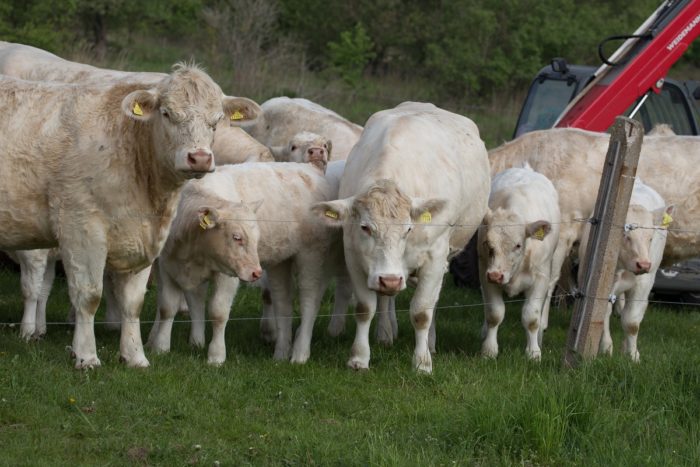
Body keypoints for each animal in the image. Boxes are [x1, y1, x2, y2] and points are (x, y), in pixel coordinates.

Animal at [0, 66, 261, 368]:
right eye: (167, 113)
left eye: (216, 120)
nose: (199, 158)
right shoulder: (80, 228)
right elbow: (89, 296)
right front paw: (86, 356)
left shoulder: (143, 238)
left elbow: (133, 303)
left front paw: (135, 356)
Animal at [313, 102, 490, 373]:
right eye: (365, 228)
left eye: (408, 229)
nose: (389, 280)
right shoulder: (354, 256)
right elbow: (365, 308)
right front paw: (359, 358)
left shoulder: (435, 257)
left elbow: (422, 312)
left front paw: (422, 362)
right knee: (386, 300)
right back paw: (386, 333)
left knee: (432, 301)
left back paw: (430, 343)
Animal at [478, 165, 561, 361]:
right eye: (487, 243)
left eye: (518, 245)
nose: (496, 275)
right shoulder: (485, 272)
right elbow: (494, 313)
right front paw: (489, 350)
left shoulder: (540, 278)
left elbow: (531, 317)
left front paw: (533, 352)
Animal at [578, 179, 674, 362]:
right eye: (626, 236)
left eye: (650, 238)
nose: (643, 264)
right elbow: (602, 313)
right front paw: (606, 348)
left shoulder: (644, 284)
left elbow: (632, 322)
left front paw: (632, 354)